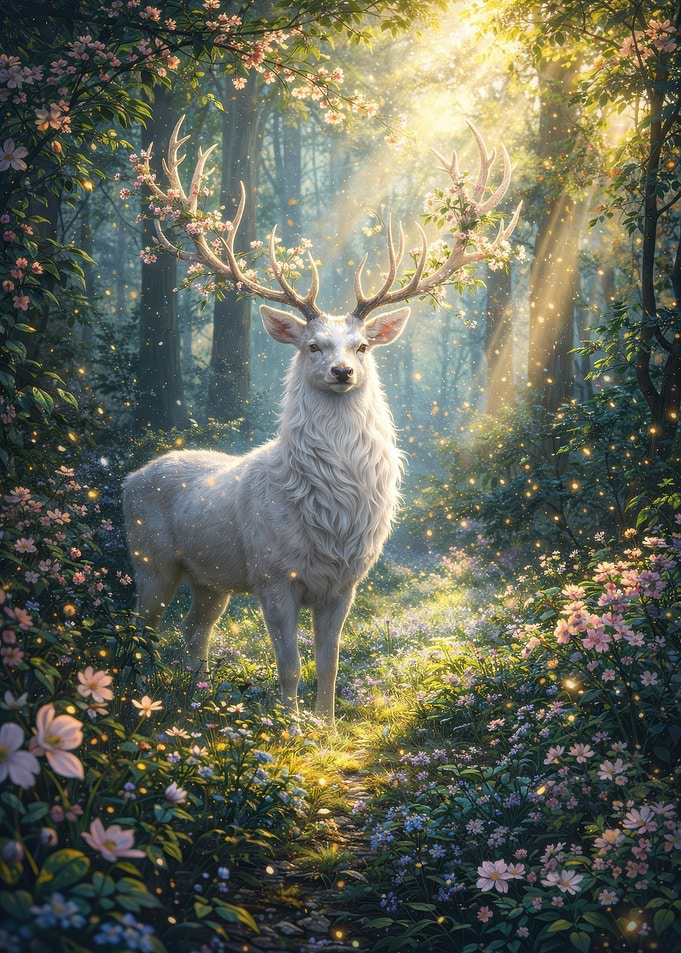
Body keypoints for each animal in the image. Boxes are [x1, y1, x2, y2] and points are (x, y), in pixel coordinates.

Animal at [123, 116, 521, 723]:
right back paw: (136, 702)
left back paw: (195, 698)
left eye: (362, 345)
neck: (331, 512)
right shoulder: (272, 574)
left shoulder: (346, 582)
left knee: (195, 632)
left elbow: (329, 661)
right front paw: (288, 728)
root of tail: (128, 478)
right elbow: (288, 663)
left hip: (210, 580)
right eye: (312, 345)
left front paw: (327, 725)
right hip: (151, 560)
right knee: (137, 629)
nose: (341, 370)